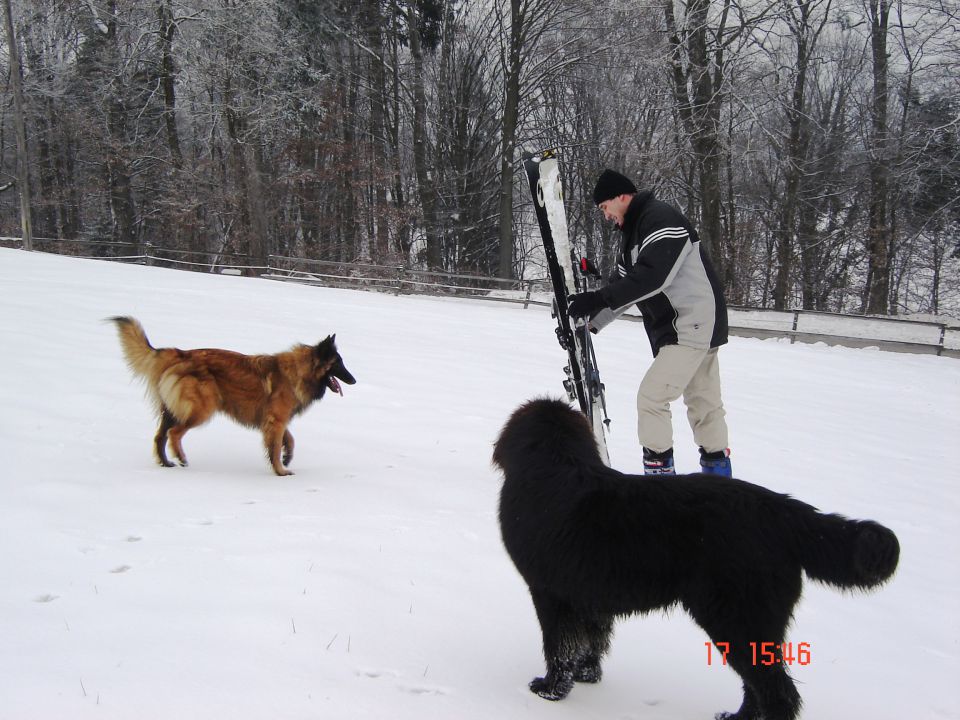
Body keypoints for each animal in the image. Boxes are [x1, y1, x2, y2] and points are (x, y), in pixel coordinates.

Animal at [109, 316, 356, 476]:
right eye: (338, 364)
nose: (354, 380)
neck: (299, 370)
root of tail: (179, 354)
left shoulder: (274, 420)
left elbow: (289, 440)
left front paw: (287, 457)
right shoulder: (276, 420)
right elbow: (275, 447)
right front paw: (280, 470)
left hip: (171, 410)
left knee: (159, 437)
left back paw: (166, 463)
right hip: (201, 409)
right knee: (174, 433)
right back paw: (181, 458)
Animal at [496, 400, 900, 720]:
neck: (557, 464)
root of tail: (781, 509)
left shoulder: (550, 592)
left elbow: (559, 646)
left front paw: (550, 689)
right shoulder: (590, 597)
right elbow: (590, 641)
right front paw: (587, 675)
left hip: (738, 618)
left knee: (779, 693)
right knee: (759, 686)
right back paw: (736, 718)